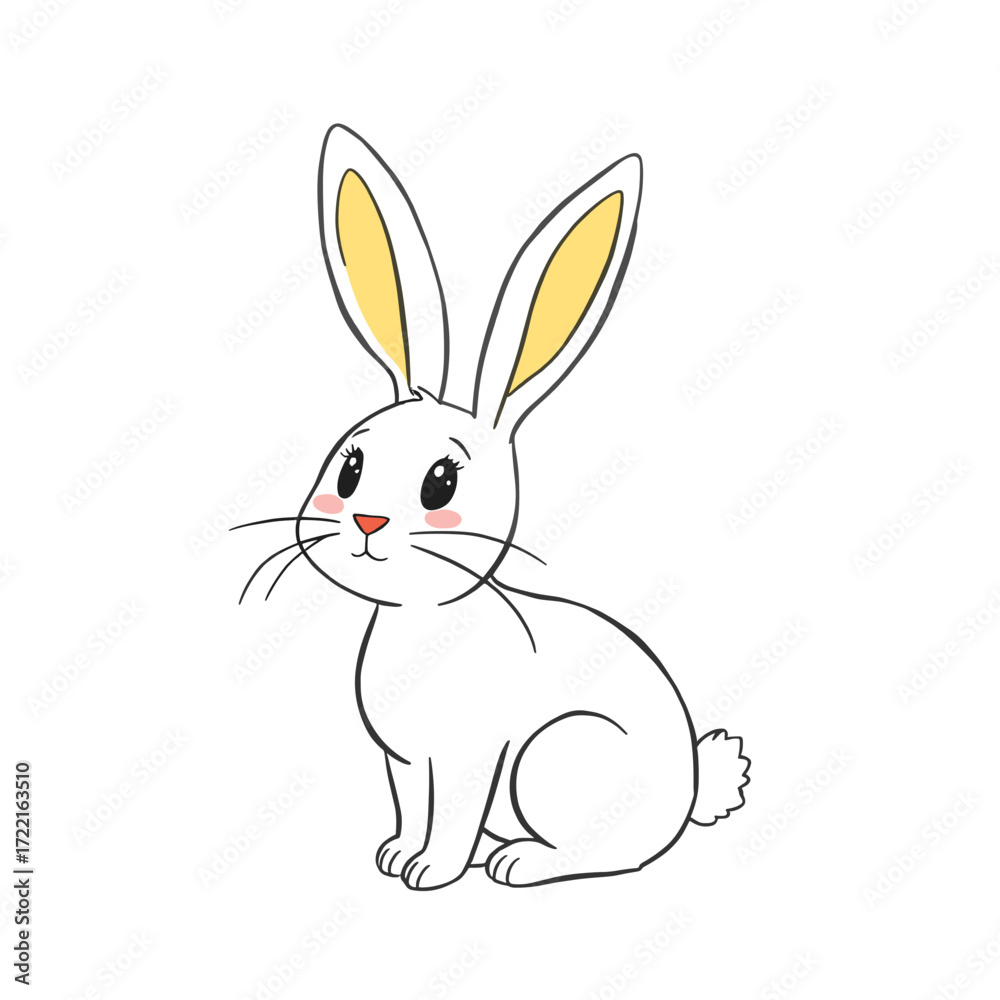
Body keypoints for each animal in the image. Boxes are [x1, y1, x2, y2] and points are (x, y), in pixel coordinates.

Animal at [237, 124, 750, 889]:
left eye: (441, 484)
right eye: (350, 468)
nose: (366, 523)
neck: (422, 619)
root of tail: (688, 790)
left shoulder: (469, 758)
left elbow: (448, 819)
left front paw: (429, 873)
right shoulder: (405, 763)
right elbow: (412, 811)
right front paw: (395, 857)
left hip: (555, 757)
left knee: (605, 852)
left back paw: (516, 862)